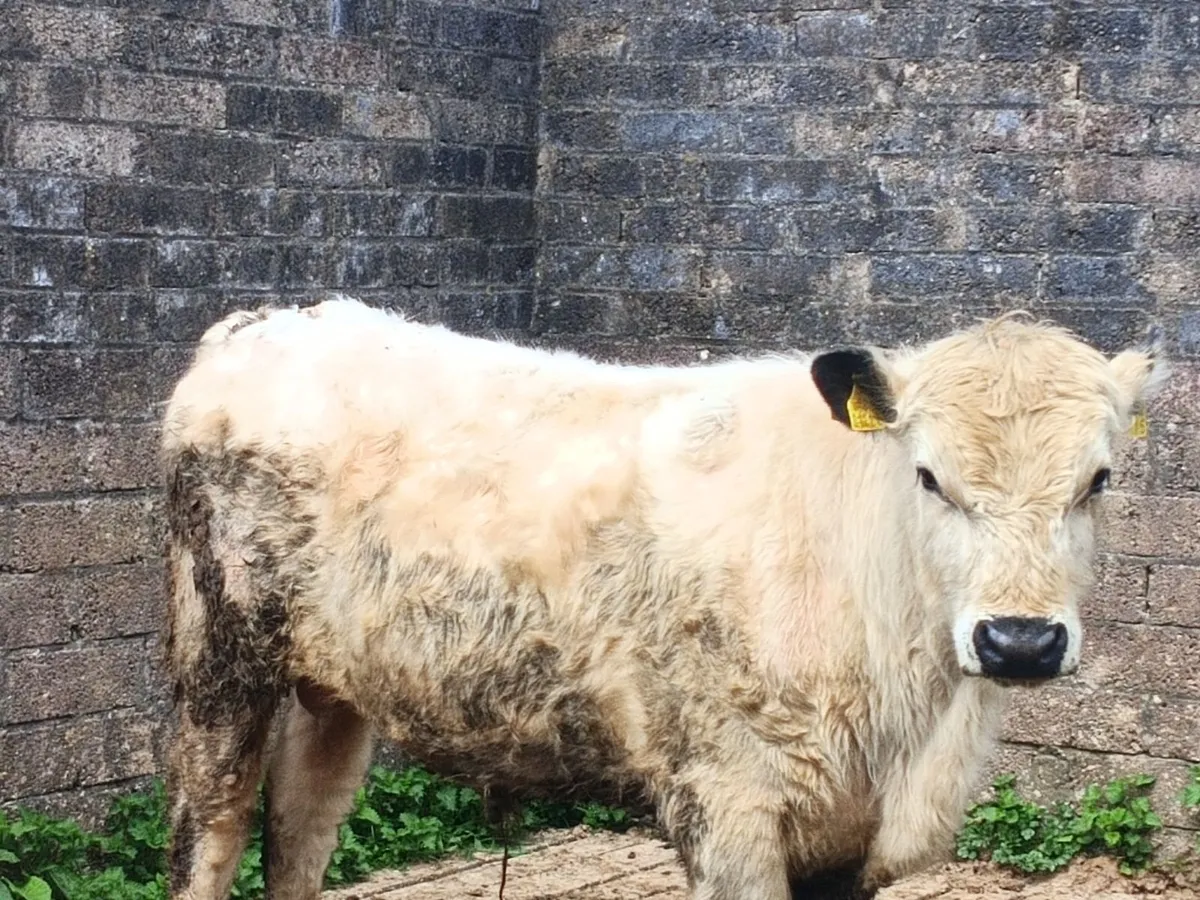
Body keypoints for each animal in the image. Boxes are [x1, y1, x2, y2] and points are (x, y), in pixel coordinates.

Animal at [160, 297, 1165, 900]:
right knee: (212, 828)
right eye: (928, 476)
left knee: (301, 826)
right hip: (218, 658)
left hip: (335, 683)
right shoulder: (729, 804)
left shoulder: (853, 837)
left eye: (1098, 480)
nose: (1019, 641)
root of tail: (267, 322)